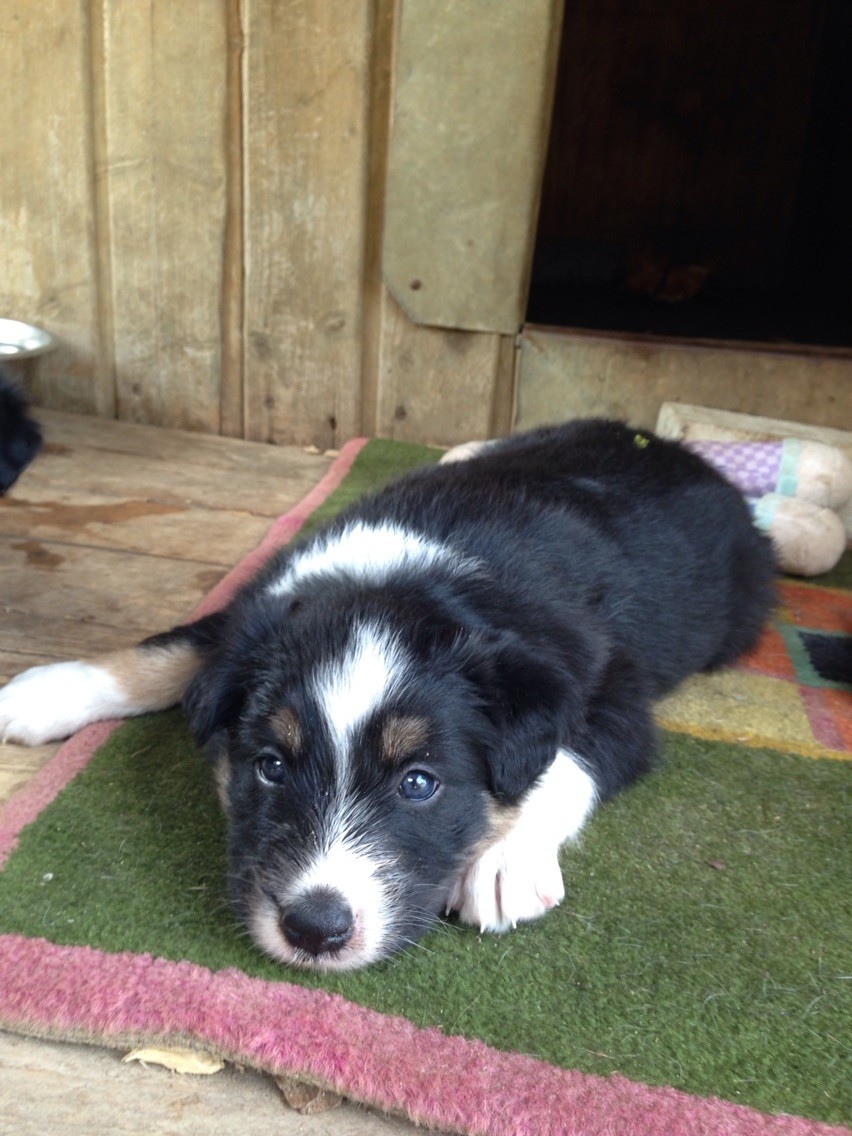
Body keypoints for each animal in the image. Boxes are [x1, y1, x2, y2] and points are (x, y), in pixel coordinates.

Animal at [0, 420, 776, 970]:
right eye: (270, 767)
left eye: (419, 783)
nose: (315, 929)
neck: (413, 574)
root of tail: (679, 452)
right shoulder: (259, 609)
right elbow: (173, 644)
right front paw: (46, 691)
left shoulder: (615, 683)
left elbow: (571, 755)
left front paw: (505, 859)